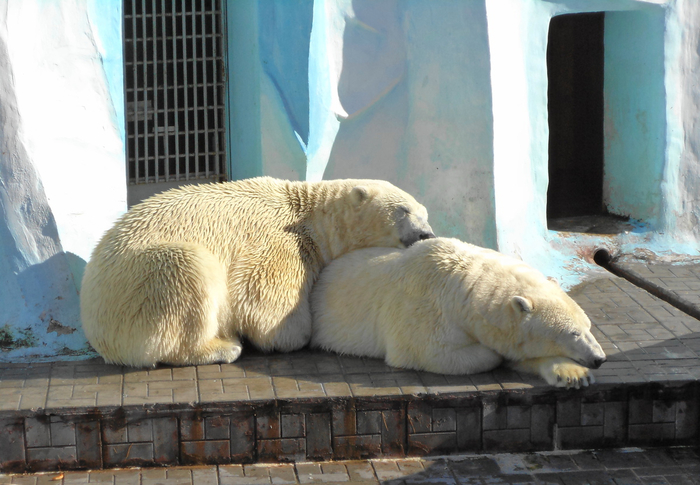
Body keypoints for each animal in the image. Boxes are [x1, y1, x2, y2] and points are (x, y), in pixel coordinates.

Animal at [80, 176, 432, 364]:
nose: (426, 233)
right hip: (143, 281)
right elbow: (264, 298)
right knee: (189, 274)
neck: (308, 214)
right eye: (404, 210)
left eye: (425, 213)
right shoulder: (282, 242)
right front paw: (293, 335)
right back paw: (223, 347)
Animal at [308, 236, 604, 388]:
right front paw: (495, 355)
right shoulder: (424, 310)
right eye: (573, 333)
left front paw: (573, 375)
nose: (599, 358)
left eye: (588, 326)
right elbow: (431, 352)